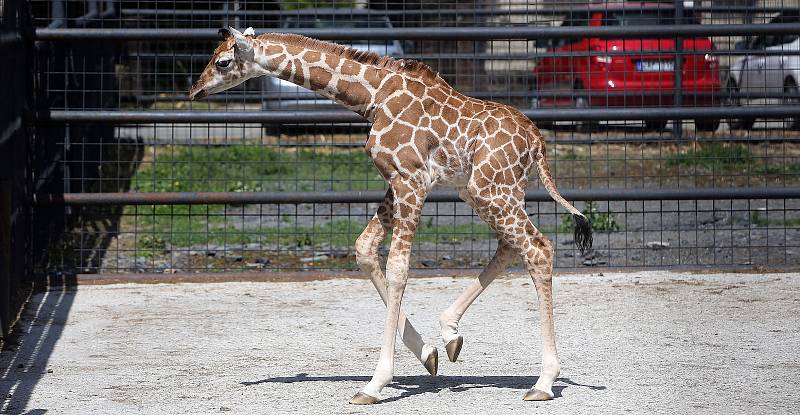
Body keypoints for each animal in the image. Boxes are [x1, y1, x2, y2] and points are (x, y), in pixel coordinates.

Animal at [191, 27, 592, 404]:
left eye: (223, 62)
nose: (196, 90)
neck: (374, 96)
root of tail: (538, 142)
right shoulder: (396, 182)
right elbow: (364, 249)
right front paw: (428, 353)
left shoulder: (411, 179)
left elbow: (398, 268)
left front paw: (374, 384)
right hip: (488, 190)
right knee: (512, 246)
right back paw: (450, 335)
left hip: (490, 189)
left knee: (537, 248)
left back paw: (544, 381)